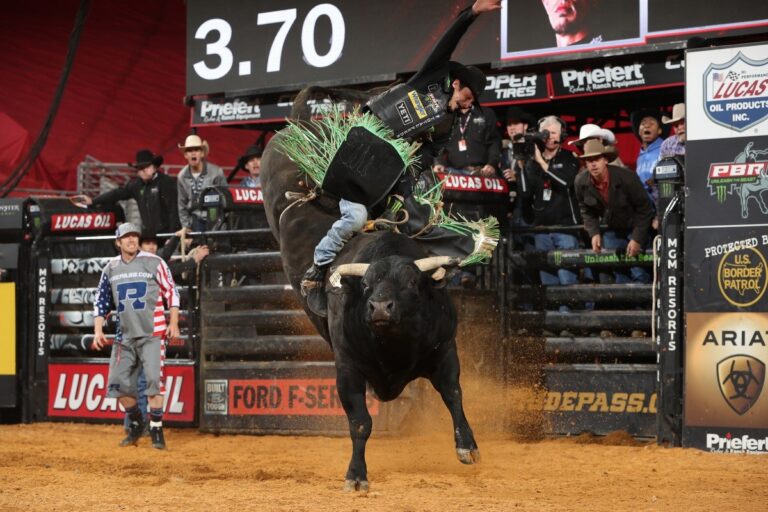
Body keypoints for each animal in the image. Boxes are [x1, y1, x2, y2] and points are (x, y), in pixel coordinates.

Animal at [259, 87, 479, 491]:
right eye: (366, 285)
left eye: (412, 284)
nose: (379, 308)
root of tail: (300, 126)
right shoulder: (347, 367)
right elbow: (361, 422)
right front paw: (356, 476)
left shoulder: (445, 349)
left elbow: (453, 393)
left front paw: (467, 446)